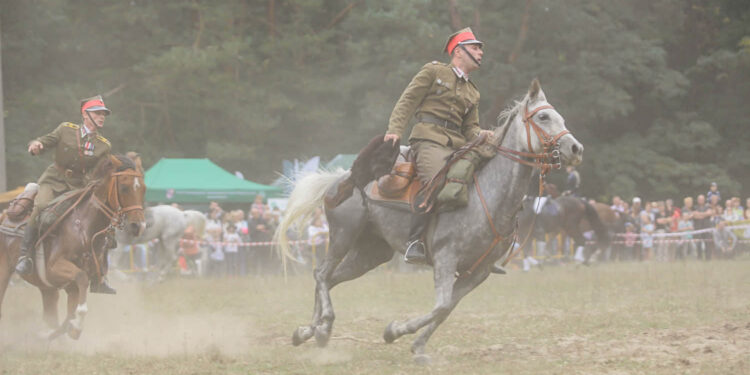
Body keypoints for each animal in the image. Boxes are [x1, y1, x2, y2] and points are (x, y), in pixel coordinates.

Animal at [0, 156, 145, 340]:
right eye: (124, 187)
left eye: (144, 189)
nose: (138, 226)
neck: (84, 228)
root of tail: (5, 214)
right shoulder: (55, 268)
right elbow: (81, 280)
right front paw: (76, 326)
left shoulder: (71, 286)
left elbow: (69, 313)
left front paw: (66, 329)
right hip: (4, 271)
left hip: (47, 289)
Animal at [274, 79, 584, 362]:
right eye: (543, 117)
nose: (576, 148)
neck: (488, 195)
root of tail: (341, 177)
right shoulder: (446, 258)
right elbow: (441, 305)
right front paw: (394, 331)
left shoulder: (479, 271)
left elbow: (446, 309)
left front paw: (417, 346)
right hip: (343, 235)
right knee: (321, 274)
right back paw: (321, 325)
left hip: (371, 252)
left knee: (331, 278)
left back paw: (312, 331)